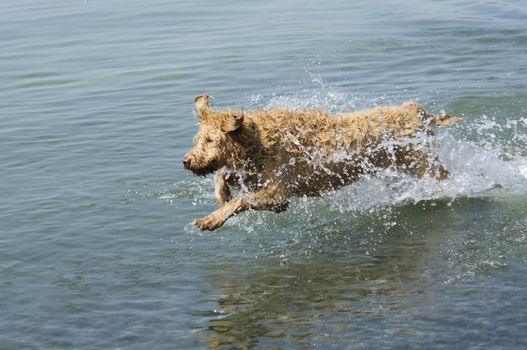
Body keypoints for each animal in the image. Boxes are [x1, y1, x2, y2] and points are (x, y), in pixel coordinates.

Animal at [184, 94, 460, 231]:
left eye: (210, 139)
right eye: (198, 139)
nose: (186, 161)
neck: (260, 141)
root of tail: (418, 112)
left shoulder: (278, 193)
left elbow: (241, 200)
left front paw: (212, 219)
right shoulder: (256, 175)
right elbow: (224, 177)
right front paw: (222, 194)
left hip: (421, 162)